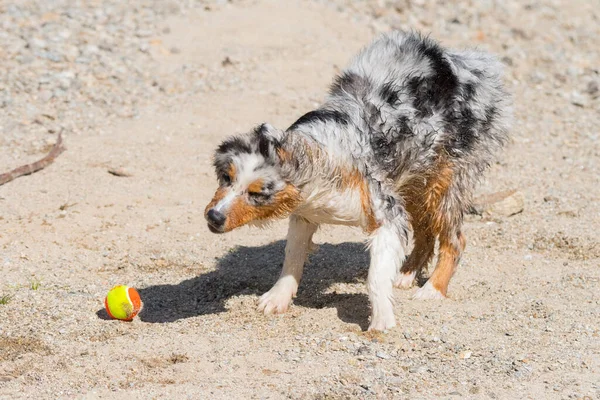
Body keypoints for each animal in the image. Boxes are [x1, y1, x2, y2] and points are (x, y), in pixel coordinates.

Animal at [204, 31, 508, 332]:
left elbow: (375, 277)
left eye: (257, 193)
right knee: (424, 231)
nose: (213, 217)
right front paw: (278, 297)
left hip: (444, 183)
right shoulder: (304, 216)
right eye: (226, 177)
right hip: (413, 181)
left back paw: (432, 289)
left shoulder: (387, 215)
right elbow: (292, 256)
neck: (321, 159)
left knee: (455, 240)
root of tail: (467, 62)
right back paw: (406, 274)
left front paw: (382, 320)